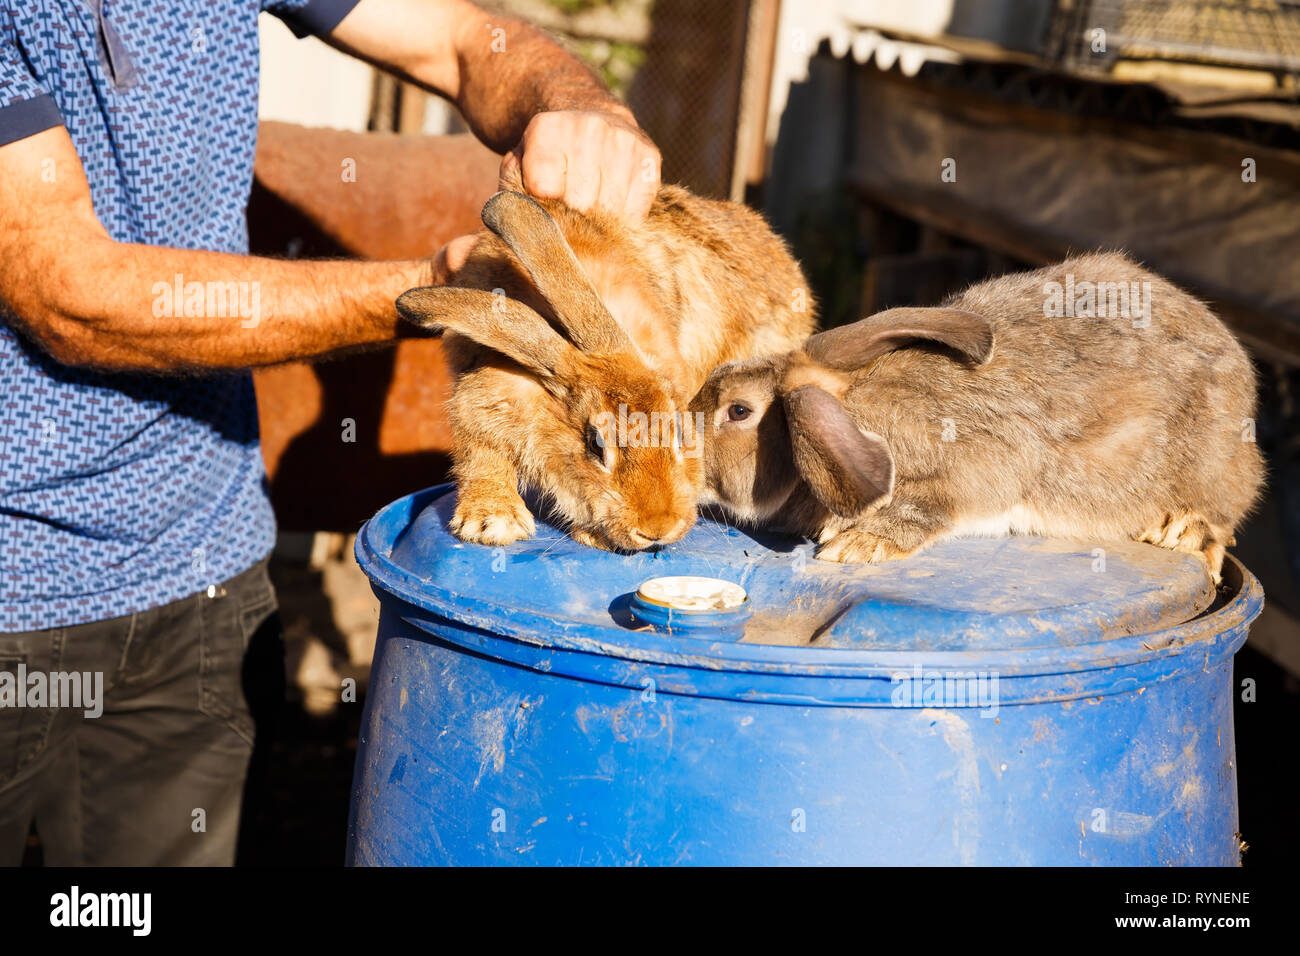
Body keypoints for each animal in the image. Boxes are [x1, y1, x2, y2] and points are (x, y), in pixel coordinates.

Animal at [396, 169, 814, 552]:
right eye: (596, 445)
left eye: (680, 433)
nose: (657, 528)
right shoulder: (483, 396)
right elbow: (480, 455)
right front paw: (493, 522)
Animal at [689, 251, 1264, 583]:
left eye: (738, 410)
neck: (853, 404)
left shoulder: (979, 462)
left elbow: (939, 500)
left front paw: (858, 543)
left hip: (1214, 467)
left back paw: (1184, 535)